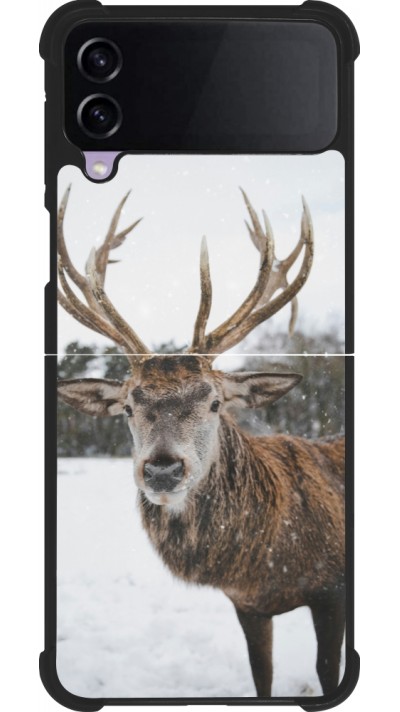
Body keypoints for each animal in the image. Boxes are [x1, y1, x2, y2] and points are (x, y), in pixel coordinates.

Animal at [57, 186, 345, 698]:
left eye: (214, 402)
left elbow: (328, 673)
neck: (266, 563)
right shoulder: (247, 605)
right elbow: (262, 677)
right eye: (127, 407)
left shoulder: (332, 591)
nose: (162, 469)